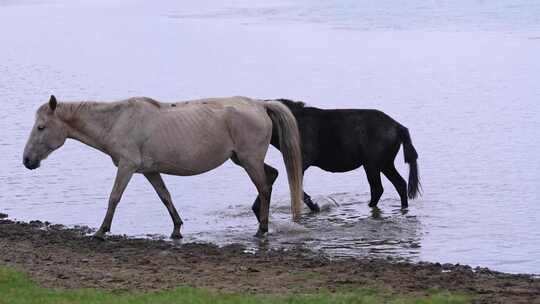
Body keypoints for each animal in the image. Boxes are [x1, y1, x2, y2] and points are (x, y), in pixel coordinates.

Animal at [24, 96, 304, 239]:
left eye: (41, 127)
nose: (27, 161)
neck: (117, 120)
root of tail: (259, 104)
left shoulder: (127, 166)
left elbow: (114, 197)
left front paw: (101, 231)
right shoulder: (149, 170)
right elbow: (165, 196)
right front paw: (177, 229)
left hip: (249, 160)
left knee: (264, 186)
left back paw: (262, 228)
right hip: (243, 159)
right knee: (272, 176)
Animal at [251, 99, 420, 218]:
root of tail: (399, 127)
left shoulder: (302, 161)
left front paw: (315, 207)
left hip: (372, 164)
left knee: (378, 189)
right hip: (384, 164)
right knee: (400, 184)